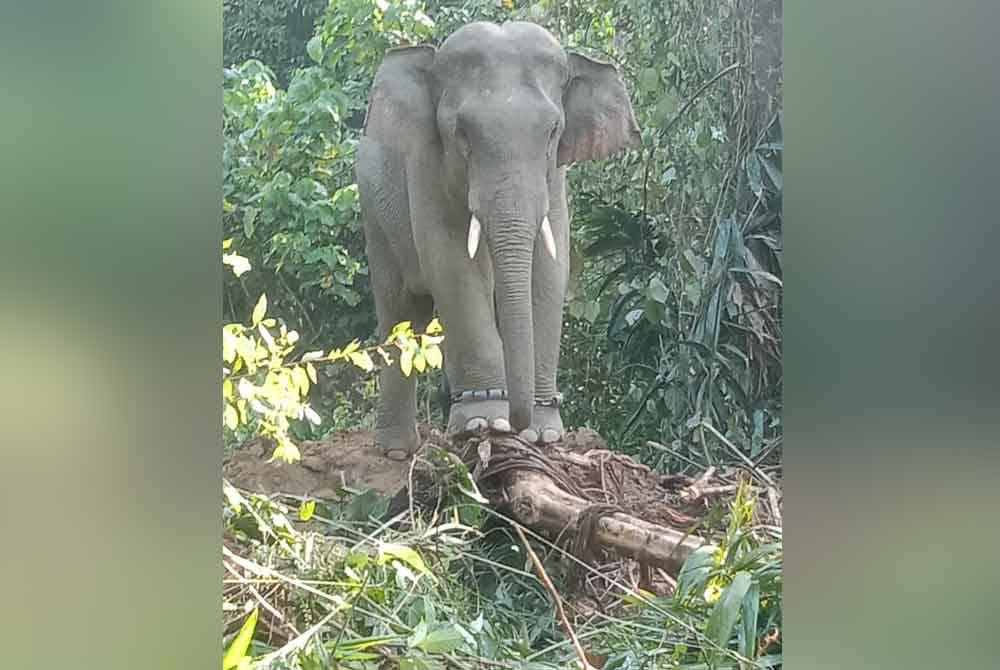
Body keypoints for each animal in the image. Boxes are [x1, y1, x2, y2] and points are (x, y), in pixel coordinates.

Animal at [358, 22, 640, 462]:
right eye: (461, 133)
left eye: (553, 132)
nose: (520, 422)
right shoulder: (426, 170)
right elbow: (452, 264)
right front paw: (484, 423)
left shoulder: (554, 180)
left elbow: (549, 272)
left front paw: (543, 434)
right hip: (376, 214)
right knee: (399, 308)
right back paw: (398, 452)